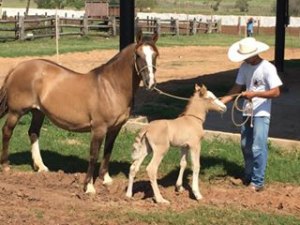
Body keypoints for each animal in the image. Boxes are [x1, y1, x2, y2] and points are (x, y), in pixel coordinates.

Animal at [0, 31, 159, 193]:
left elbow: (108, 151)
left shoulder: (115, 128)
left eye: (155, 55)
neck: (111, 87)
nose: (150, 83)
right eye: (138, 55)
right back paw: (6, 166)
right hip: (16, 112)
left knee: (33, 133)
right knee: (7, 131)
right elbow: (94, 155)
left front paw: (106, 179)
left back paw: (41, 167)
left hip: (38, 112)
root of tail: (17, 68)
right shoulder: (99, 128)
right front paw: (89, 187)